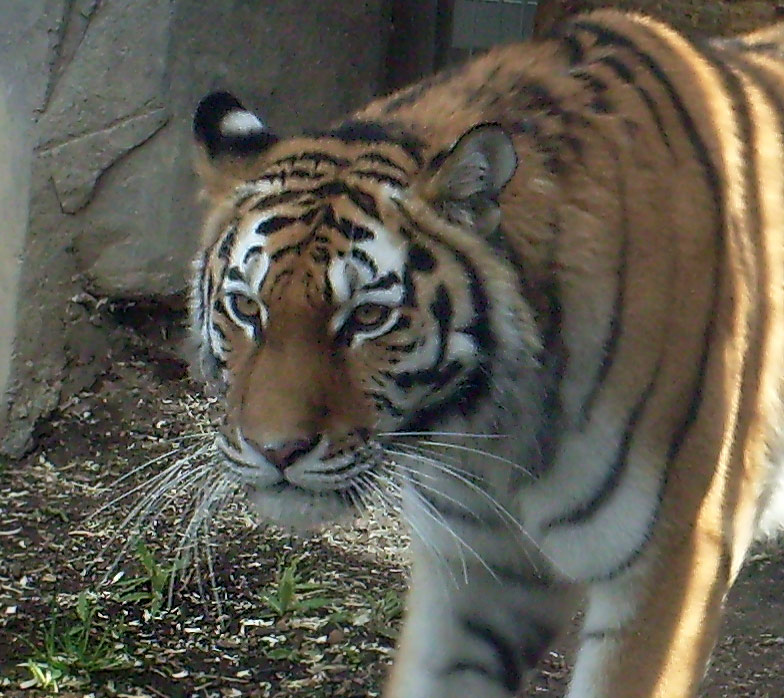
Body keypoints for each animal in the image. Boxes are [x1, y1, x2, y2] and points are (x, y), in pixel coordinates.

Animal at [187, 10, 784, 696]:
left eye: (367, 316)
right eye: (246, 308)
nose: (276, 451)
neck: (490, 435)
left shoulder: (671, 563)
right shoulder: (477, 572)